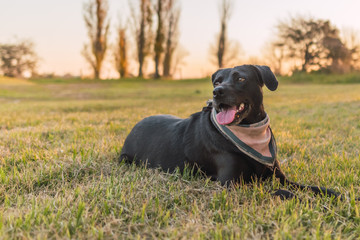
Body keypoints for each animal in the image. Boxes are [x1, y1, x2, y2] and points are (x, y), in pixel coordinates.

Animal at [121, 64, 348, 200]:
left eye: (240, 79)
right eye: (217, 81)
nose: (217, 92)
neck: (248, 130)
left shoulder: (279, 176)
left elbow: (305, 187)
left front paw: (332, 193)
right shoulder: (231, 184)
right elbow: (280, 192)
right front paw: (305, 201)